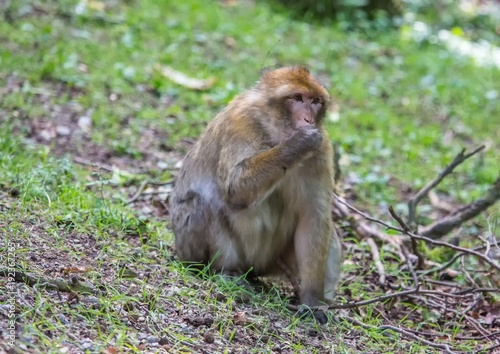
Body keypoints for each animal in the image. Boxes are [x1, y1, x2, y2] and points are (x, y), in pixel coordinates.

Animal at [170, 65, 342, 322]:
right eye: (297, 98)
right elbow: (235, 188)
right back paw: (226, 271)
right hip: (190, 246)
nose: (308, 119)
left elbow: (314, 217)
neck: (273, 132)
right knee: (202, 205)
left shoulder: (321, 152)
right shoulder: (241, 122)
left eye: (315, 101)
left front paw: (312, 302)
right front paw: (298, 144)